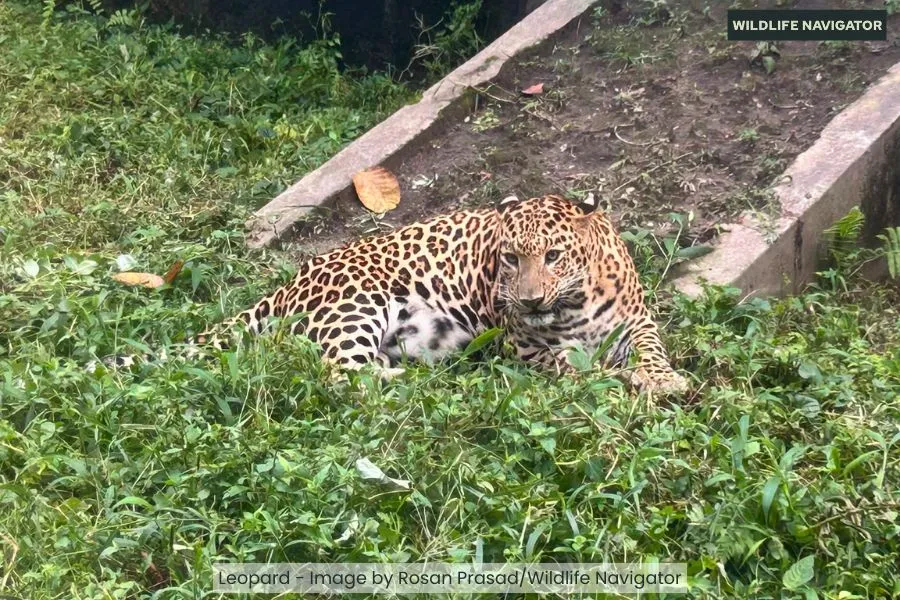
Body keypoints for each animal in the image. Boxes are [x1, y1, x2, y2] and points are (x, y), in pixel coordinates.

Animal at [96, 194, 688, 394]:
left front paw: (662, 379)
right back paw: (422, 385)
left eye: (554, 256)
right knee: (337, 374)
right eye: (509, 259)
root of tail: (291, 281)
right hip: (358, 305)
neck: (574, 302)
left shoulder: (638, 320)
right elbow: (569, 365)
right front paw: (615, 378)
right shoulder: (522, 346)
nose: (528, 301)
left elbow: (652, 349)